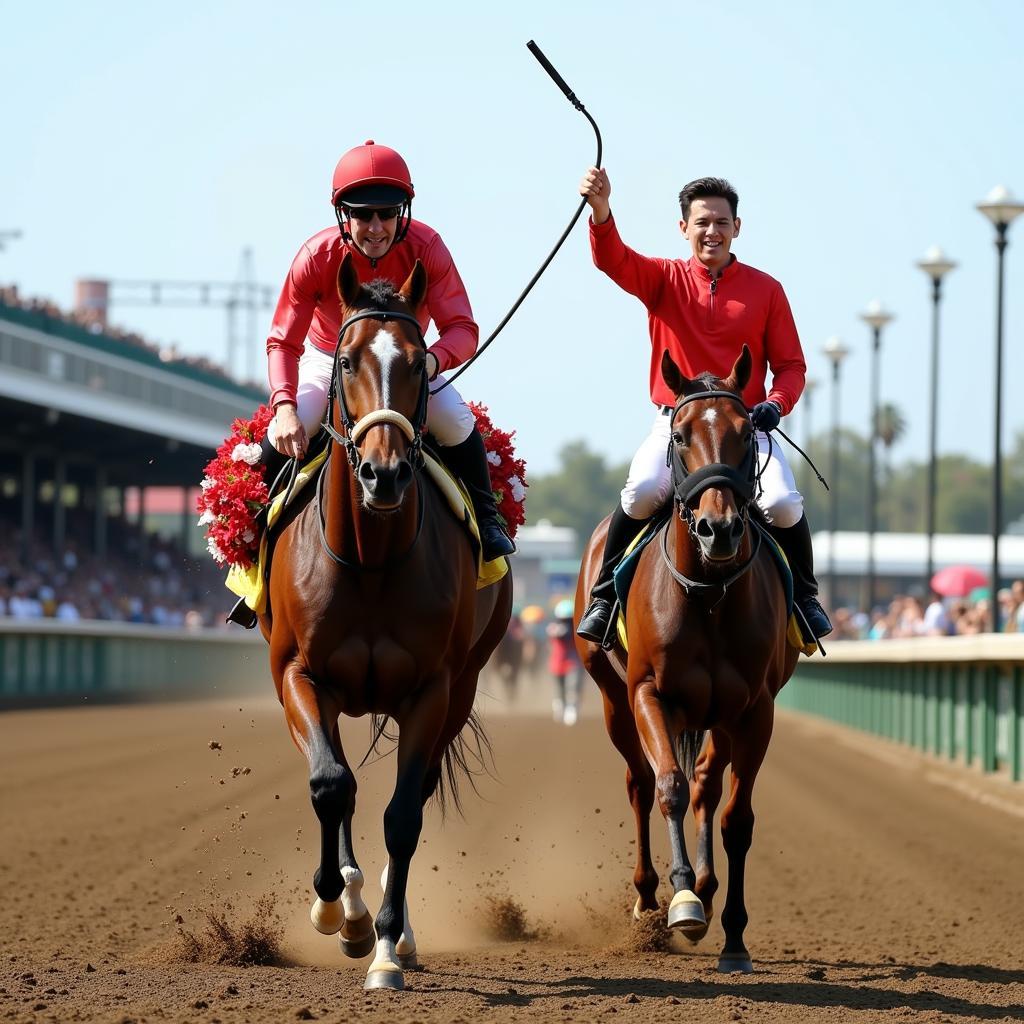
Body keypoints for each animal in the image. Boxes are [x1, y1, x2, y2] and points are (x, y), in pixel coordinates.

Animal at [256, 251, 512, 987]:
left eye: (421, 361)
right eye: (346, 361)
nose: (383, 475)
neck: (370, 560)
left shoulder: (433, 687)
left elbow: (402, 815)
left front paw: (389, 948)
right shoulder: (297, 673)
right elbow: (329, 783)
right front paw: (336, 910)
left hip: (465, 685)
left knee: (414, 794)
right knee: (338, 777)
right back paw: (347, 903)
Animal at [573, 348, 794, 970]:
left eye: (746, 433)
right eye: (680, 433)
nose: (718, 529)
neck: (708, 593)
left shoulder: (754, 710)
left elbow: (735, 818)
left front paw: (734, 934)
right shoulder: (650, 692)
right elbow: (666, 785)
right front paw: (682, 901)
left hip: (717, 716)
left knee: (705, 786)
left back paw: (706, 883)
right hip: (612, 699)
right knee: (641, 782)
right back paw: (651, 897)